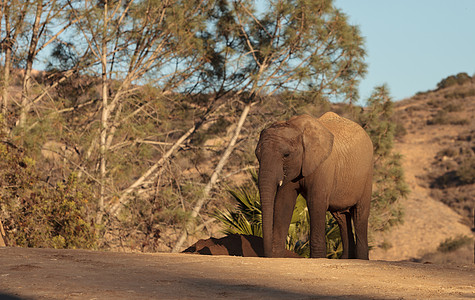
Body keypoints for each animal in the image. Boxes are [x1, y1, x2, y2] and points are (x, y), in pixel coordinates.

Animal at [255, 111, 374, 258]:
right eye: (257, 155)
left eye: (286, 155)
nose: (267, 255)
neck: (297, 127)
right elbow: (283, 202)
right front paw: (277, 256)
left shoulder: (323, 166)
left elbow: (315, 203)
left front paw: (318, 258)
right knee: (341, 217)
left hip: (367, 176)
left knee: (360, 215)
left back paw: (361, 259)